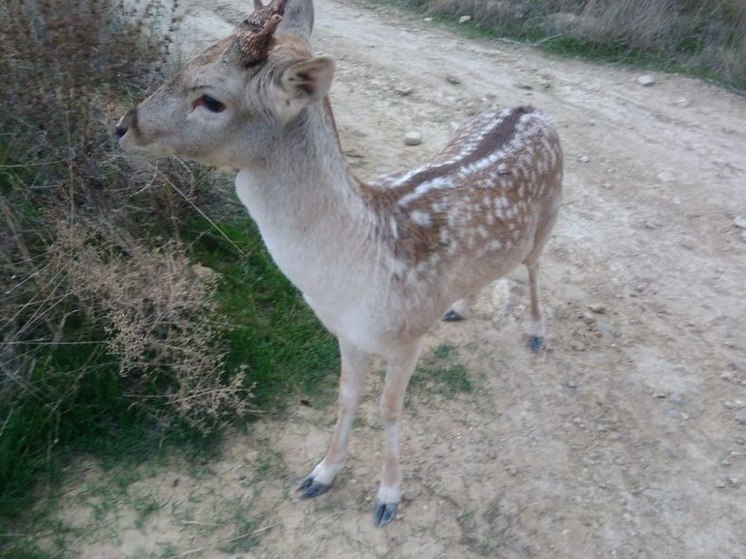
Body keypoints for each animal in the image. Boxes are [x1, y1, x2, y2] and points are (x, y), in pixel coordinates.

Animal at [115, 0, 560, 528]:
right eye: (190, 61)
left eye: (212, 100)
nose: (124, 125)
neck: (355, 276)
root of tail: (532, 109)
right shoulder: (347, 333)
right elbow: (346, 395)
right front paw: (320, 474)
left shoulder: (408, 334)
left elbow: (389, 409)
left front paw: (388, 497)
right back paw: (459, 307)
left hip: (550, 216)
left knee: (534, 267)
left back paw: (536, 332)